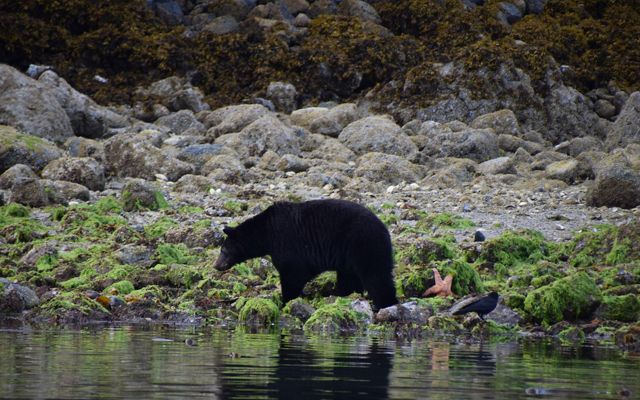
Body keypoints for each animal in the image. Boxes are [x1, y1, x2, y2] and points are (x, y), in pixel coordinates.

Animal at [214, 199, 398, 310]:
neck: (265, 233)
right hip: (349, 257)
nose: (216, 265)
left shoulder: (287, 243)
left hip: (364, 245)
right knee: (349, 278)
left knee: (376, 276)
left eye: (223, 250)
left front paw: (285, 300)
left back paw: (384, 303)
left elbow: (293, 274)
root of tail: (385, 230)